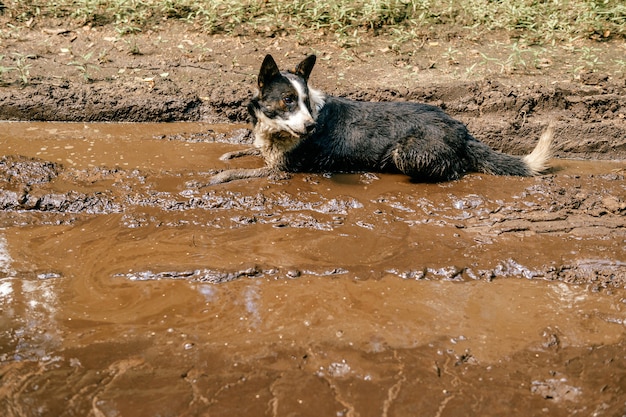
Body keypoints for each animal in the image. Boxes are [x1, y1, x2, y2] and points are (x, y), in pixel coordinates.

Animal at [210, 54, 552, 184]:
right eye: (288, 100)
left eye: (305, 102)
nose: (311, 126)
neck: (276, 129)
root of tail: (461, 128)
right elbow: (250, 150)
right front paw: (230, 153)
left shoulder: (284, 169)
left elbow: (242, 172)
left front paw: (217, 176)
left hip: (406, 153)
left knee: (453, 168)